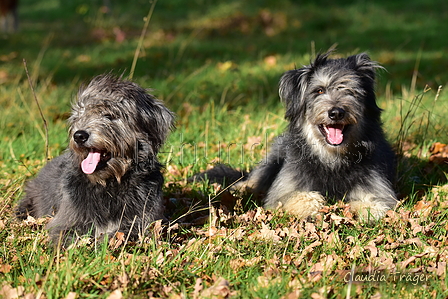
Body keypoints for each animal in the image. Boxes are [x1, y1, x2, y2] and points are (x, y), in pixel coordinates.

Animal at [17, 74, 175, 244]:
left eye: (110, 115)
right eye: (80, 116)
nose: (79, 135)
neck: (109, 185)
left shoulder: (143, 220)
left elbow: (126, 232)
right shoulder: (66, 220)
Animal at [236, 52, 398, 220]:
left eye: (350, 91)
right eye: (319, 90)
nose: (336, 113)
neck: (331, 158)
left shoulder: (377, 189)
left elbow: (374, 203)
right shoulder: (283, 192)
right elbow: (301, 197)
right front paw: (314, 207)